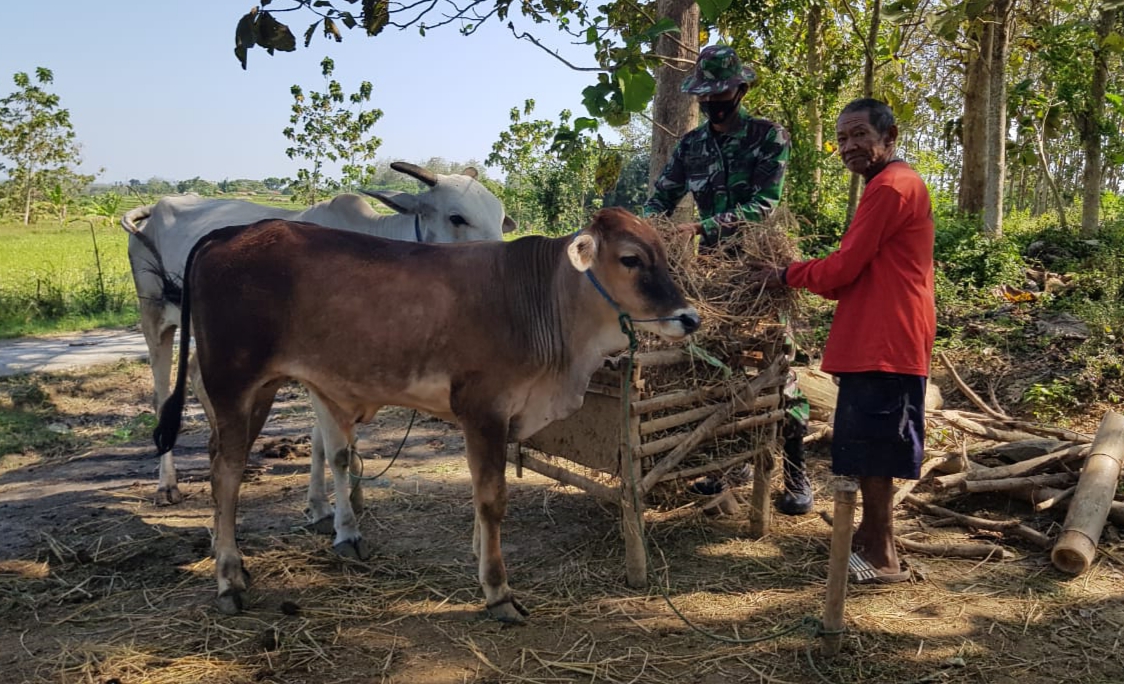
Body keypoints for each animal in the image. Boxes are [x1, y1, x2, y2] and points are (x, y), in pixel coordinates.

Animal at [121, 161, 514, 512]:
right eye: (456, 218)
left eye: (500, 217)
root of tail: (156, 208)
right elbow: (330, 439)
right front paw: (331, 510)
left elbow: (326, 437)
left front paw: (333, 502)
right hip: (155, 318)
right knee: (162, 396)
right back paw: (167, 486)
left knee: (199, 378)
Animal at [153, 205, 696, 619]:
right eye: (630, 258)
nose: (689, 318)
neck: (539, 302)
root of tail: (230, 234)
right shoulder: (483, 409)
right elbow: (492, 499)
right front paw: (497, 591)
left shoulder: (497, 420)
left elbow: (481, 494)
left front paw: (479, 557)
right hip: (233, 383)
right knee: (225, 475)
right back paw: (229, 580)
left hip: (260, 390)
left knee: (224, 459)